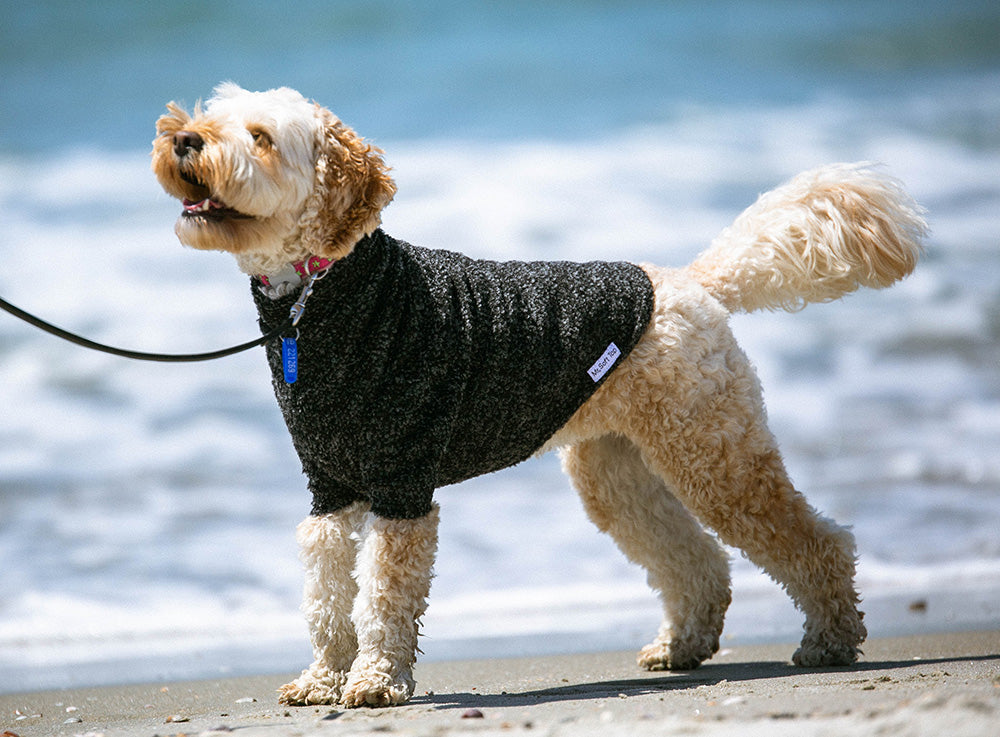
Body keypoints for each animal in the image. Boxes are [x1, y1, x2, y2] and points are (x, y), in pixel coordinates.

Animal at [150, 83, 928, 704]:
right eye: (214, 115)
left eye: (260, 137)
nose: (184, 137)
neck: (319, 295)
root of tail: (694, 283)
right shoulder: (328, 491)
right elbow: (326, 596)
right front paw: (321, 679)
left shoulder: (402, 487)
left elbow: (383, 597)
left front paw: (374, 682)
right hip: (616, 471)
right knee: (695, 557)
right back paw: (683, 645)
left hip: (715, 454)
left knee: (815, 540)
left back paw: (830, 640)